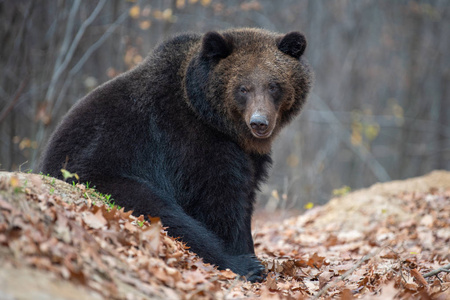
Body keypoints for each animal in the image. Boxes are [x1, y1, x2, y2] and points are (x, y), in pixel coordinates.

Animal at [39, 28, 312, 282]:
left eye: (273, 85)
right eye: (243, 88)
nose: (259, 123)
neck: (215, 121)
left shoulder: (248, 156)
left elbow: (245, 197)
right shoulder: (188, 143)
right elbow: (219, 201)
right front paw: (244, 256)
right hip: (100, 173)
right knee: (162, 211)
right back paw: (243, 266)